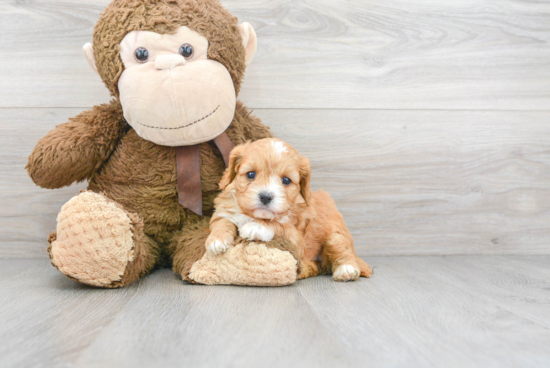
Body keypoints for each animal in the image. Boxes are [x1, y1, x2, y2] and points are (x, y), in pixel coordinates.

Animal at [207, 139, 376, 282]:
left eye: (286, 180)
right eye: (250, 174)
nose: (265, 197)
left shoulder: (297, 240)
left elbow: (280, 225)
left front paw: (256, 226)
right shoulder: (224, 210)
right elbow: (222, 221)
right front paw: (217, 240)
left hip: (335, 234)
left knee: (343, 251)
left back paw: (346, 269)